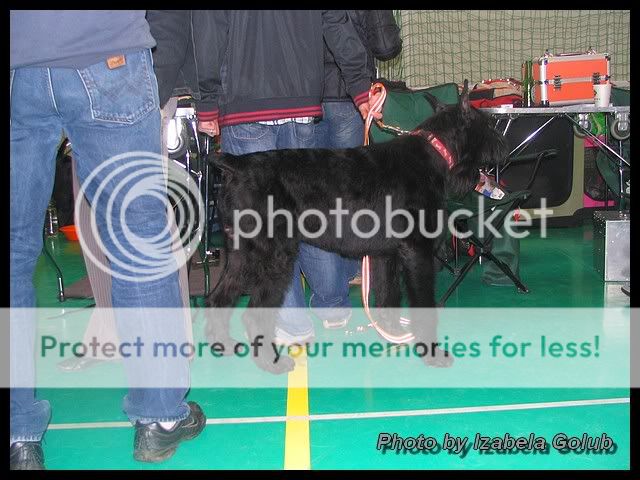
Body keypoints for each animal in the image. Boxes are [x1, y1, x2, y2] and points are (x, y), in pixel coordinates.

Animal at [205, 80, 508, 374]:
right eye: (488, 125)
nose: (503, 145)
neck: (436, 152)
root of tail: (237, 165)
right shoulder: (417, 251)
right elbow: (423, 303)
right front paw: (432, 353)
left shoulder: (387, 255)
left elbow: (388, 296)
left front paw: (392, 333)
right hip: (273, 257)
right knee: (254, 314)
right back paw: (272, 363)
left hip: (242, 255)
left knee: (218, 298)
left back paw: (224, 344)